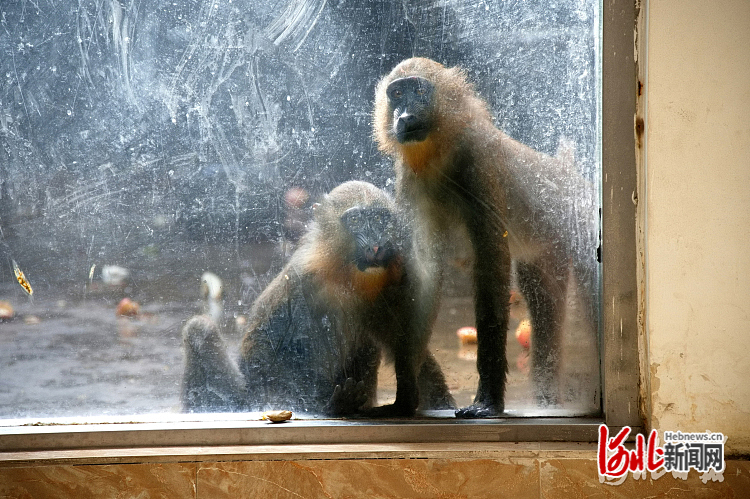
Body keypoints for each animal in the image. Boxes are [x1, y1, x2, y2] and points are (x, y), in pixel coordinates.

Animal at [181, 182, 458, 416]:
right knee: (201, 328)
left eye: (379, 218)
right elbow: (260, 344)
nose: (376, 246)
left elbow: (402, 335)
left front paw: (413, 398)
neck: (344, 274)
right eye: (355, 220)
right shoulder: (301, 277)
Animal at [374, 57, 600, 418]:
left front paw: (489, 399)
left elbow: (491, 262)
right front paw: (405, 391)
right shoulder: (409, 180)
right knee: (543, 301)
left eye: (419, 91)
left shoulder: (476, 161)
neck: (439, 153)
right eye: (396, 94)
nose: (404, 115)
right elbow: (425, 274)